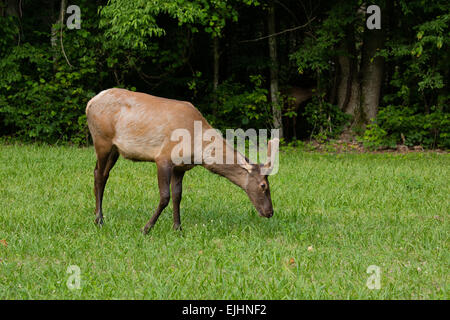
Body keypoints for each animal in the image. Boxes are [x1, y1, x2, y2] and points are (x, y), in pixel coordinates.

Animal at [85, 87, 278, 232]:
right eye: (264, 186)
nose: (270, 212)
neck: (198, 149)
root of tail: (90, 103)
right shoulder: (163, 158)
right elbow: (165, 196)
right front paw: (146, 228)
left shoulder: (181, 167)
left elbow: (178, 195)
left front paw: (177, 227)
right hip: (102, 140)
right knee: (99, 175)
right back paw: (99, 220)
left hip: (115, 149)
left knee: (100, 173)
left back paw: (97, 216)